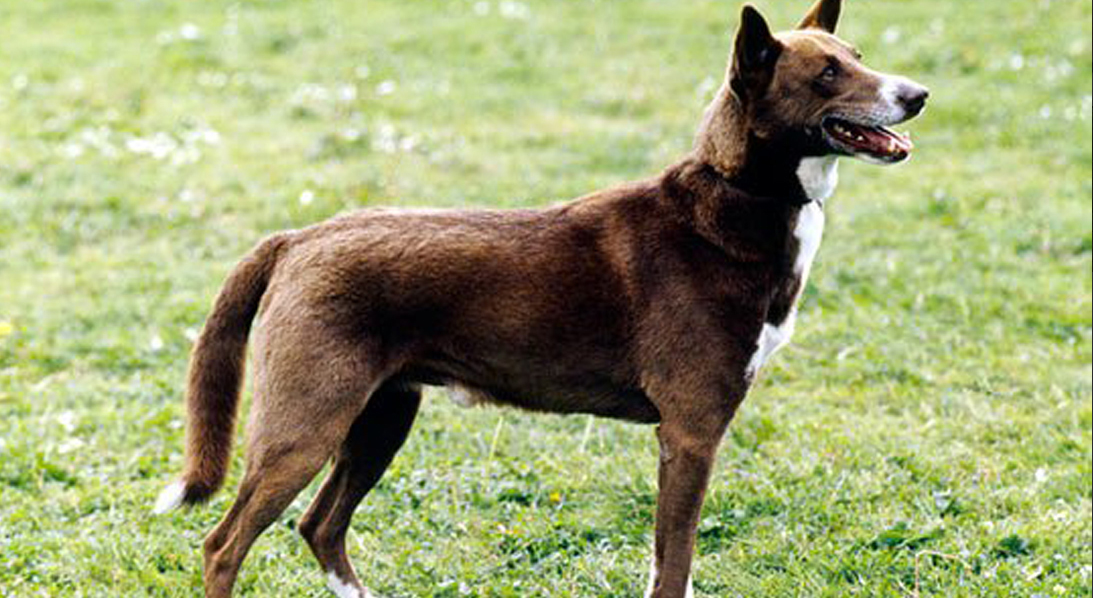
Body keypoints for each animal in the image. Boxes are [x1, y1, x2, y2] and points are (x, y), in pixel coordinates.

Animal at [158, 2, 931, 594]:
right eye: (827, 74)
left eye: (856, 55)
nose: (918, 94)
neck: (734, 198)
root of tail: (297, 238)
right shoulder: (690, 434)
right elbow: (673, 564)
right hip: (305, 425)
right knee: (224, 544)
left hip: (382, 415)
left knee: (319, 525)